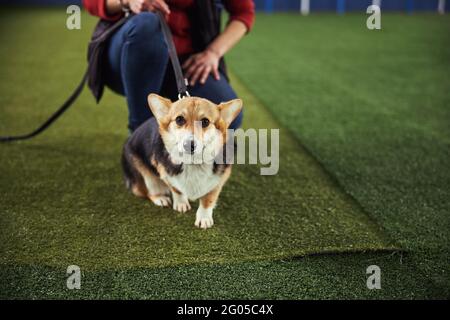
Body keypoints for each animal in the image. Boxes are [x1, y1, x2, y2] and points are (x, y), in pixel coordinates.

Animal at [121, 94, 243, 229]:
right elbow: (177, 189)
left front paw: (204, 218)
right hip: (145, 175)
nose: (189, 145)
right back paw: (160, 198)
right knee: (147, 190)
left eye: (205, 121)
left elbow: (208, 199)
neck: (193, 164)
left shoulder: (218, 181)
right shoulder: (166, 174)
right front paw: (181, 204)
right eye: (179, 119)